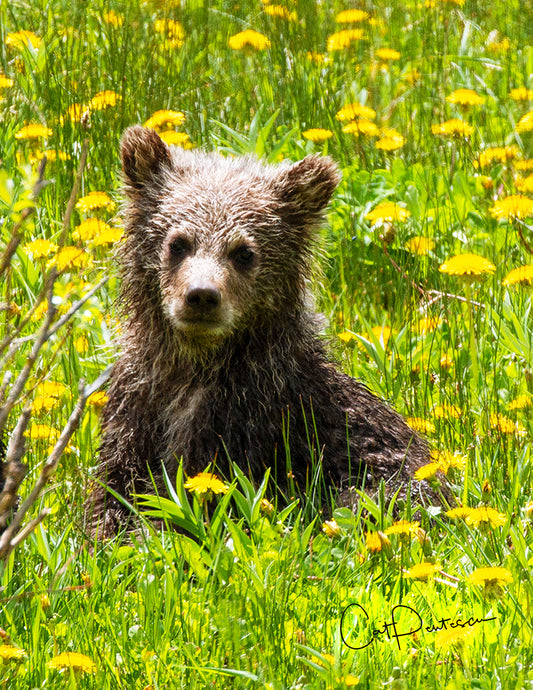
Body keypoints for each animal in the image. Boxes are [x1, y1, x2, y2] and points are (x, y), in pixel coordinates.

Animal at [88, 125, 430, 538]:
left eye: (244, 251)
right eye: (178, 242)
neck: (194, 368)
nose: (201, 295)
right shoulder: (135, 407)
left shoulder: (250, 423)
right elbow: (115, 493)